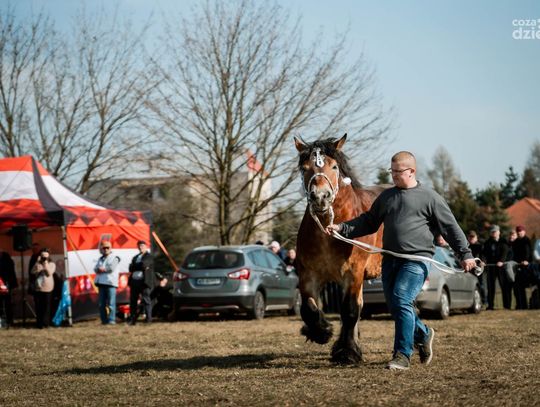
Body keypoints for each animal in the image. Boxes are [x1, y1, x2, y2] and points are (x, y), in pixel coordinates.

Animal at [294, 134, 386, 365]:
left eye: (334, 166)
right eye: (304, 168)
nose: (320, 196)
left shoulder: (353, 273)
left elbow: (350, 310)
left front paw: (347, 352)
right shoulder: (308, 275)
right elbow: (308, 307)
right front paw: (321, 331)